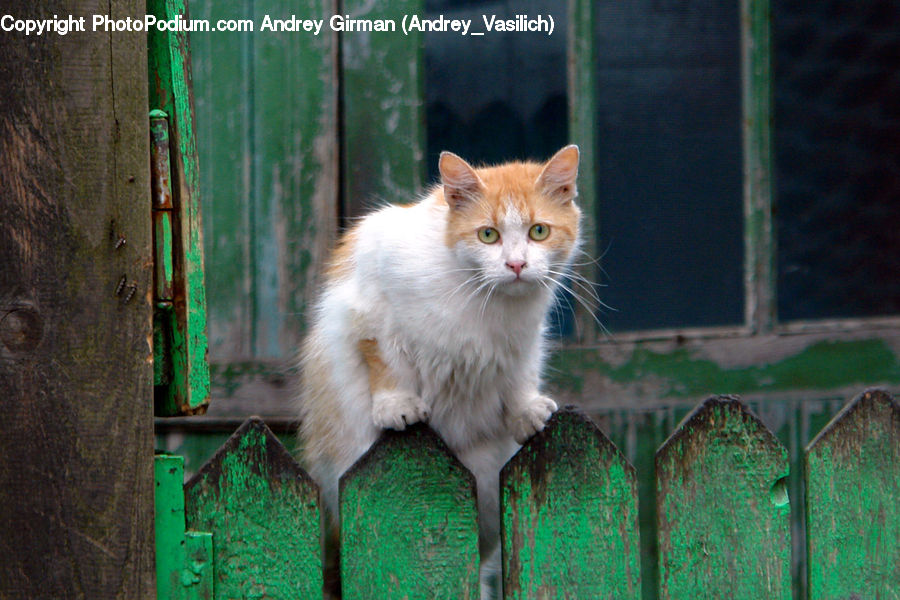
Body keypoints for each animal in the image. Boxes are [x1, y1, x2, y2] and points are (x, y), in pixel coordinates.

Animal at [298, 144, 584, 596]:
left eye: (539, 231)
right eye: (488, 235)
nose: (516, 265)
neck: (484, 300)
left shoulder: (524, 342)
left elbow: (519, 378)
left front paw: (525, 412)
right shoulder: (370, 307)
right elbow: (384, 360)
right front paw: (396, 405)